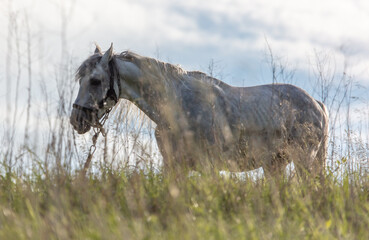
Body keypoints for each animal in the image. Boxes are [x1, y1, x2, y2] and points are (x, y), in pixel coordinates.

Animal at [69, 44, 328, 177]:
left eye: (95, 80)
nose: (76, 120)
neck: (178, 106)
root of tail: (317, 104)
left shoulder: (208, 168)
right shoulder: (174, 167)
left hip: (304, 162)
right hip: (275, 166)